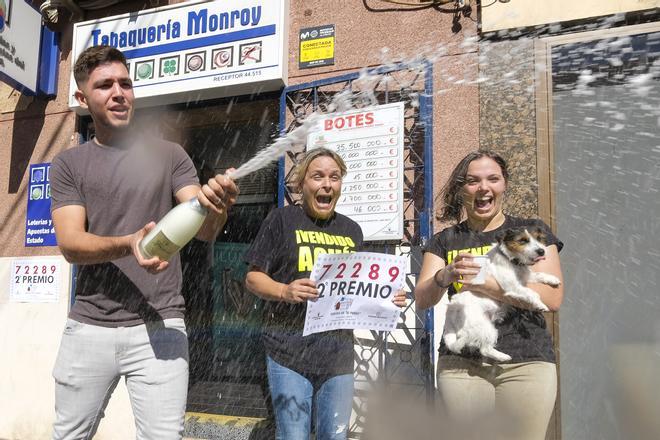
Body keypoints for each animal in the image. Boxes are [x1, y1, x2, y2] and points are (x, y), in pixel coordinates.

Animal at [440, 227, 560, 360]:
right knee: (484, 350)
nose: (542, 251)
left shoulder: (524, 279)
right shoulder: (511, 285)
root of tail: (449, 316)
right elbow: (532, 292)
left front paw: (552, 279)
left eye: (538, 238)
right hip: (485, 327)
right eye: (523, 240)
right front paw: (540, 304)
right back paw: (503, 357)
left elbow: (539, 275)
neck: (511, 260)